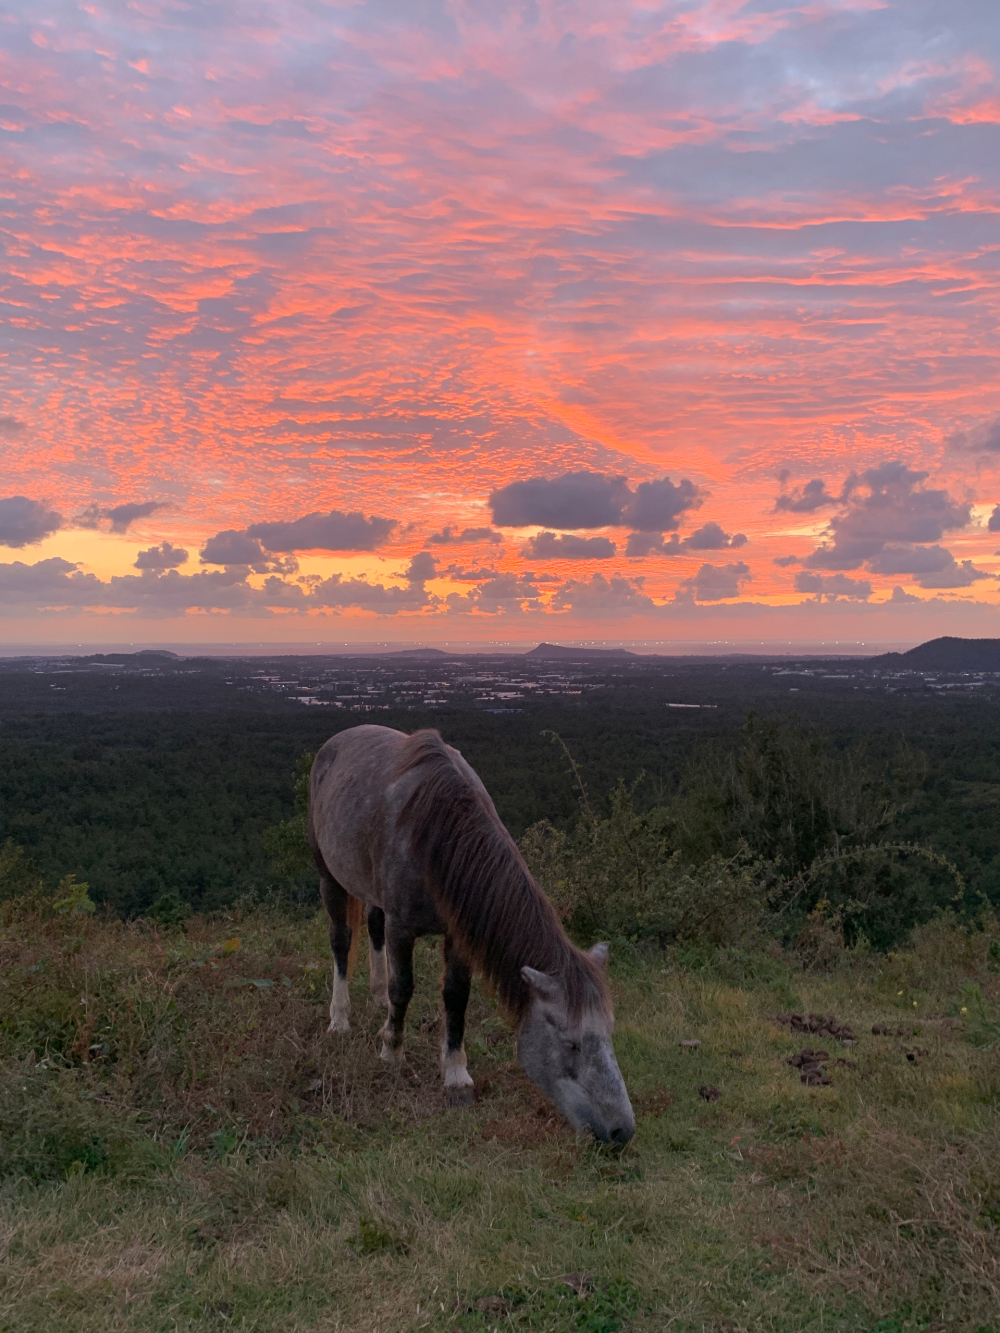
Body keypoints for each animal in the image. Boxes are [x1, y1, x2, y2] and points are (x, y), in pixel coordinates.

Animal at [308, 719, 634, 1146]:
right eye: (571, 1044)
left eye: (610, 1033)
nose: (623, 1131)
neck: (438, 835)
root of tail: (338, 739)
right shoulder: (402, 926)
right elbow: (404, 987)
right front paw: (391, 1050)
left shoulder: (459, 933)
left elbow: (456, 997)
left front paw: (456, 1075)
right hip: (329, 875)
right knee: (341, 941)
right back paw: (340, 1018)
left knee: (374, 929)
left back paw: (377, 1000)